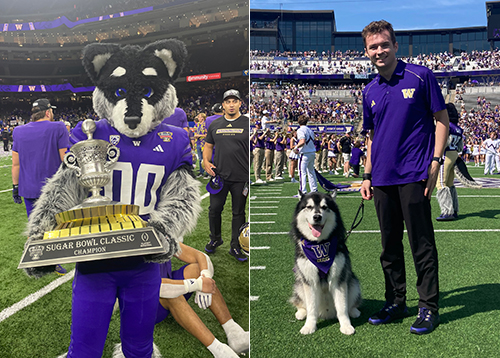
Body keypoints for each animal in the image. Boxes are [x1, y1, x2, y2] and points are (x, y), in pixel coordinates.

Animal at [290, 192, 364, 334]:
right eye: (309, 207)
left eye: (324, 207)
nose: (317, 217)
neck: (319, 244)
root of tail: (327, 314)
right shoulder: (309, 281)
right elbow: (311, 308)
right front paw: (309, 326)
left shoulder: (338, 279)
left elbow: (342, 307)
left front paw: (346, 326)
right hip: (299, 284)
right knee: (301, 302)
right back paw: (301, 313)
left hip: (353, 282)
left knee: (351, 302)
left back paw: (354, 311)